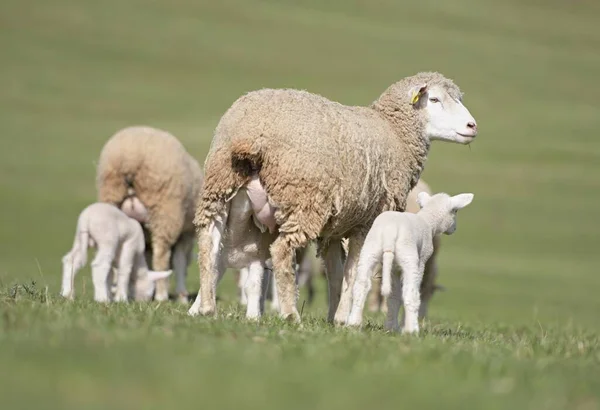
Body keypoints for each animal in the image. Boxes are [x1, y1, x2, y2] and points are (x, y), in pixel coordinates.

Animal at [96, 126, 204, 302]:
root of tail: (129, 160)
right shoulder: (185, 234)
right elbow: (179, 261)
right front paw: (181, 296)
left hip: (112, 200)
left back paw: (111, 293)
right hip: (164, 213)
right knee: (161, 256)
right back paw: (161, 296)